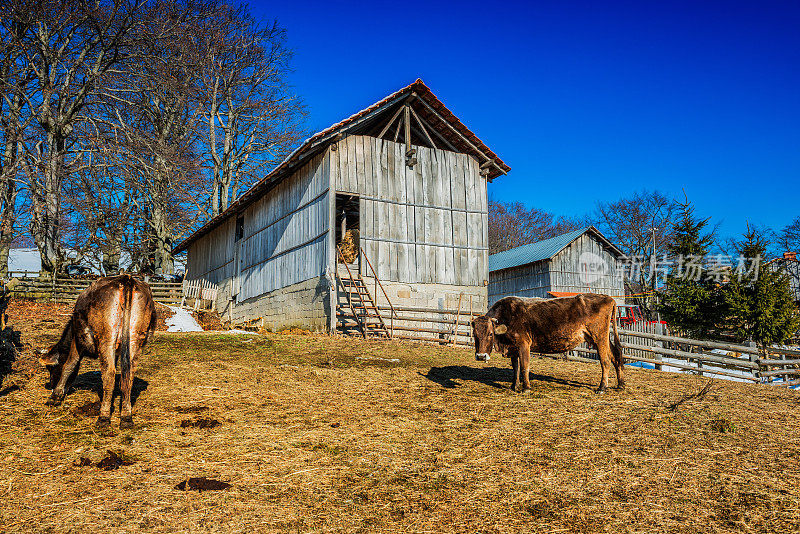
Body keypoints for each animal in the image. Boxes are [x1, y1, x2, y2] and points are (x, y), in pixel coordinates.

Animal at [39, 276, 157, 432]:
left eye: (51, 368)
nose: (52, 384)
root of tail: (126, 279)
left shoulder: (77, 340)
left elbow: (69, 365)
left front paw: (55, 396)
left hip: (106, 337)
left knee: (109, 374)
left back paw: (104, 417)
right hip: (135, 338)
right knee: (128, 374)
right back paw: (126, 417)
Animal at [468, 296, 624, 396]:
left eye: (490, 334)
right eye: (475, 334)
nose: (481, 356)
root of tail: (608, 298)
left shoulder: (524, 344)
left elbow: (524, 366)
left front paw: (526, 388)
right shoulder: (513, 348)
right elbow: (515, 368)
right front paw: (514, 385)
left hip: (599, 337)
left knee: (605, 361)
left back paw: (602, 387)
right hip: (601, 338)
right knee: (616, 355)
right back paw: (621, 384)